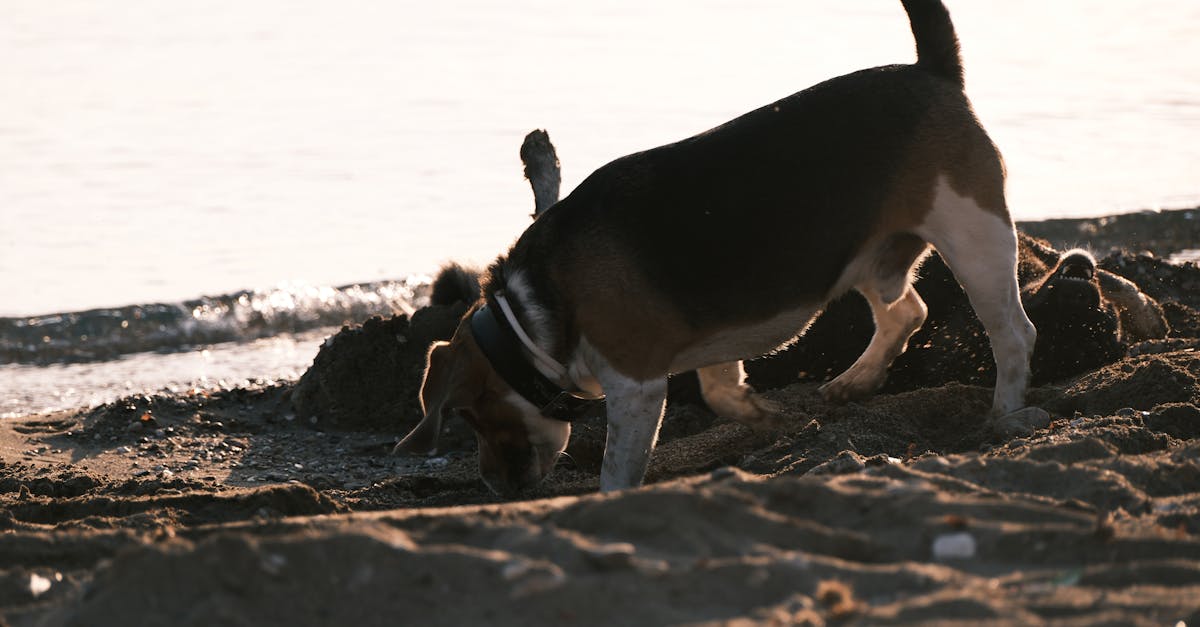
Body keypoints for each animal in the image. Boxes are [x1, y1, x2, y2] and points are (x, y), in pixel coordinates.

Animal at [398, 1, 1036, 497]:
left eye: (472, 415)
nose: (494, 486)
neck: (538, 308)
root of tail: (933, 71)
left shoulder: (635, 385)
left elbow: (617, 468)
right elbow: (719, 388)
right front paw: (763, 416)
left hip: (974, 237)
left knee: (1012, 333)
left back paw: (1003, 416)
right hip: (868, 254)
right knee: (907, 311)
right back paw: (856, 381)